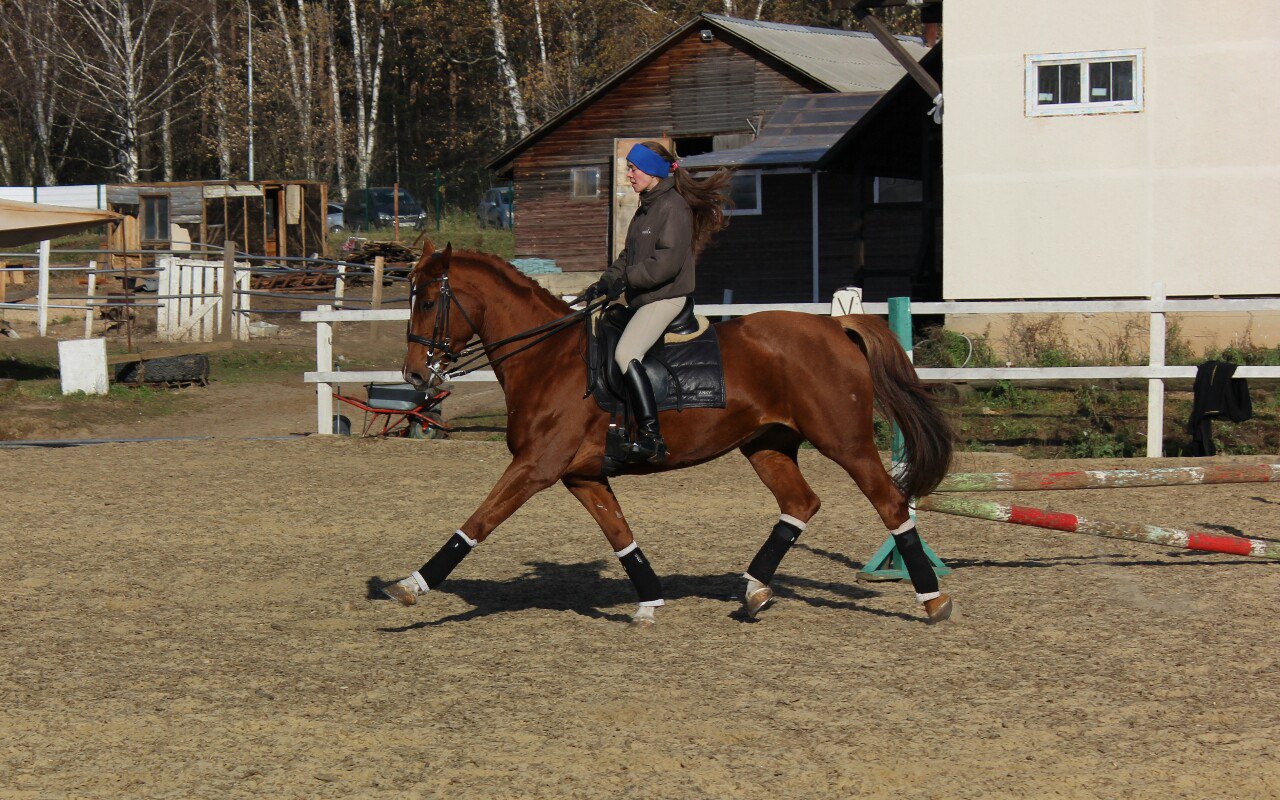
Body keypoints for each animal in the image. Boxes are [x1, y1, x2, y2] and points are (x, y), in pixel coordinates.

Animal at [381, 241, 956, 626]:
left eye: (427, 301)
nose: (414, 374)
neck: (546, 358)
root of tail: (834, 326)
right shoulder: (582, 476)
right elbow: (620, 536)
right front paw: (649, 600)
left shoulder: (535, 467)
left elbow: (477, 522)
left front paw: (411, 585)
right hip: (766, 444)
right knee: (801, 503)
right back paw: (754, 590)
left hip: (846, 444)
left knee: (891, 504)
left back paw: (933, 600)